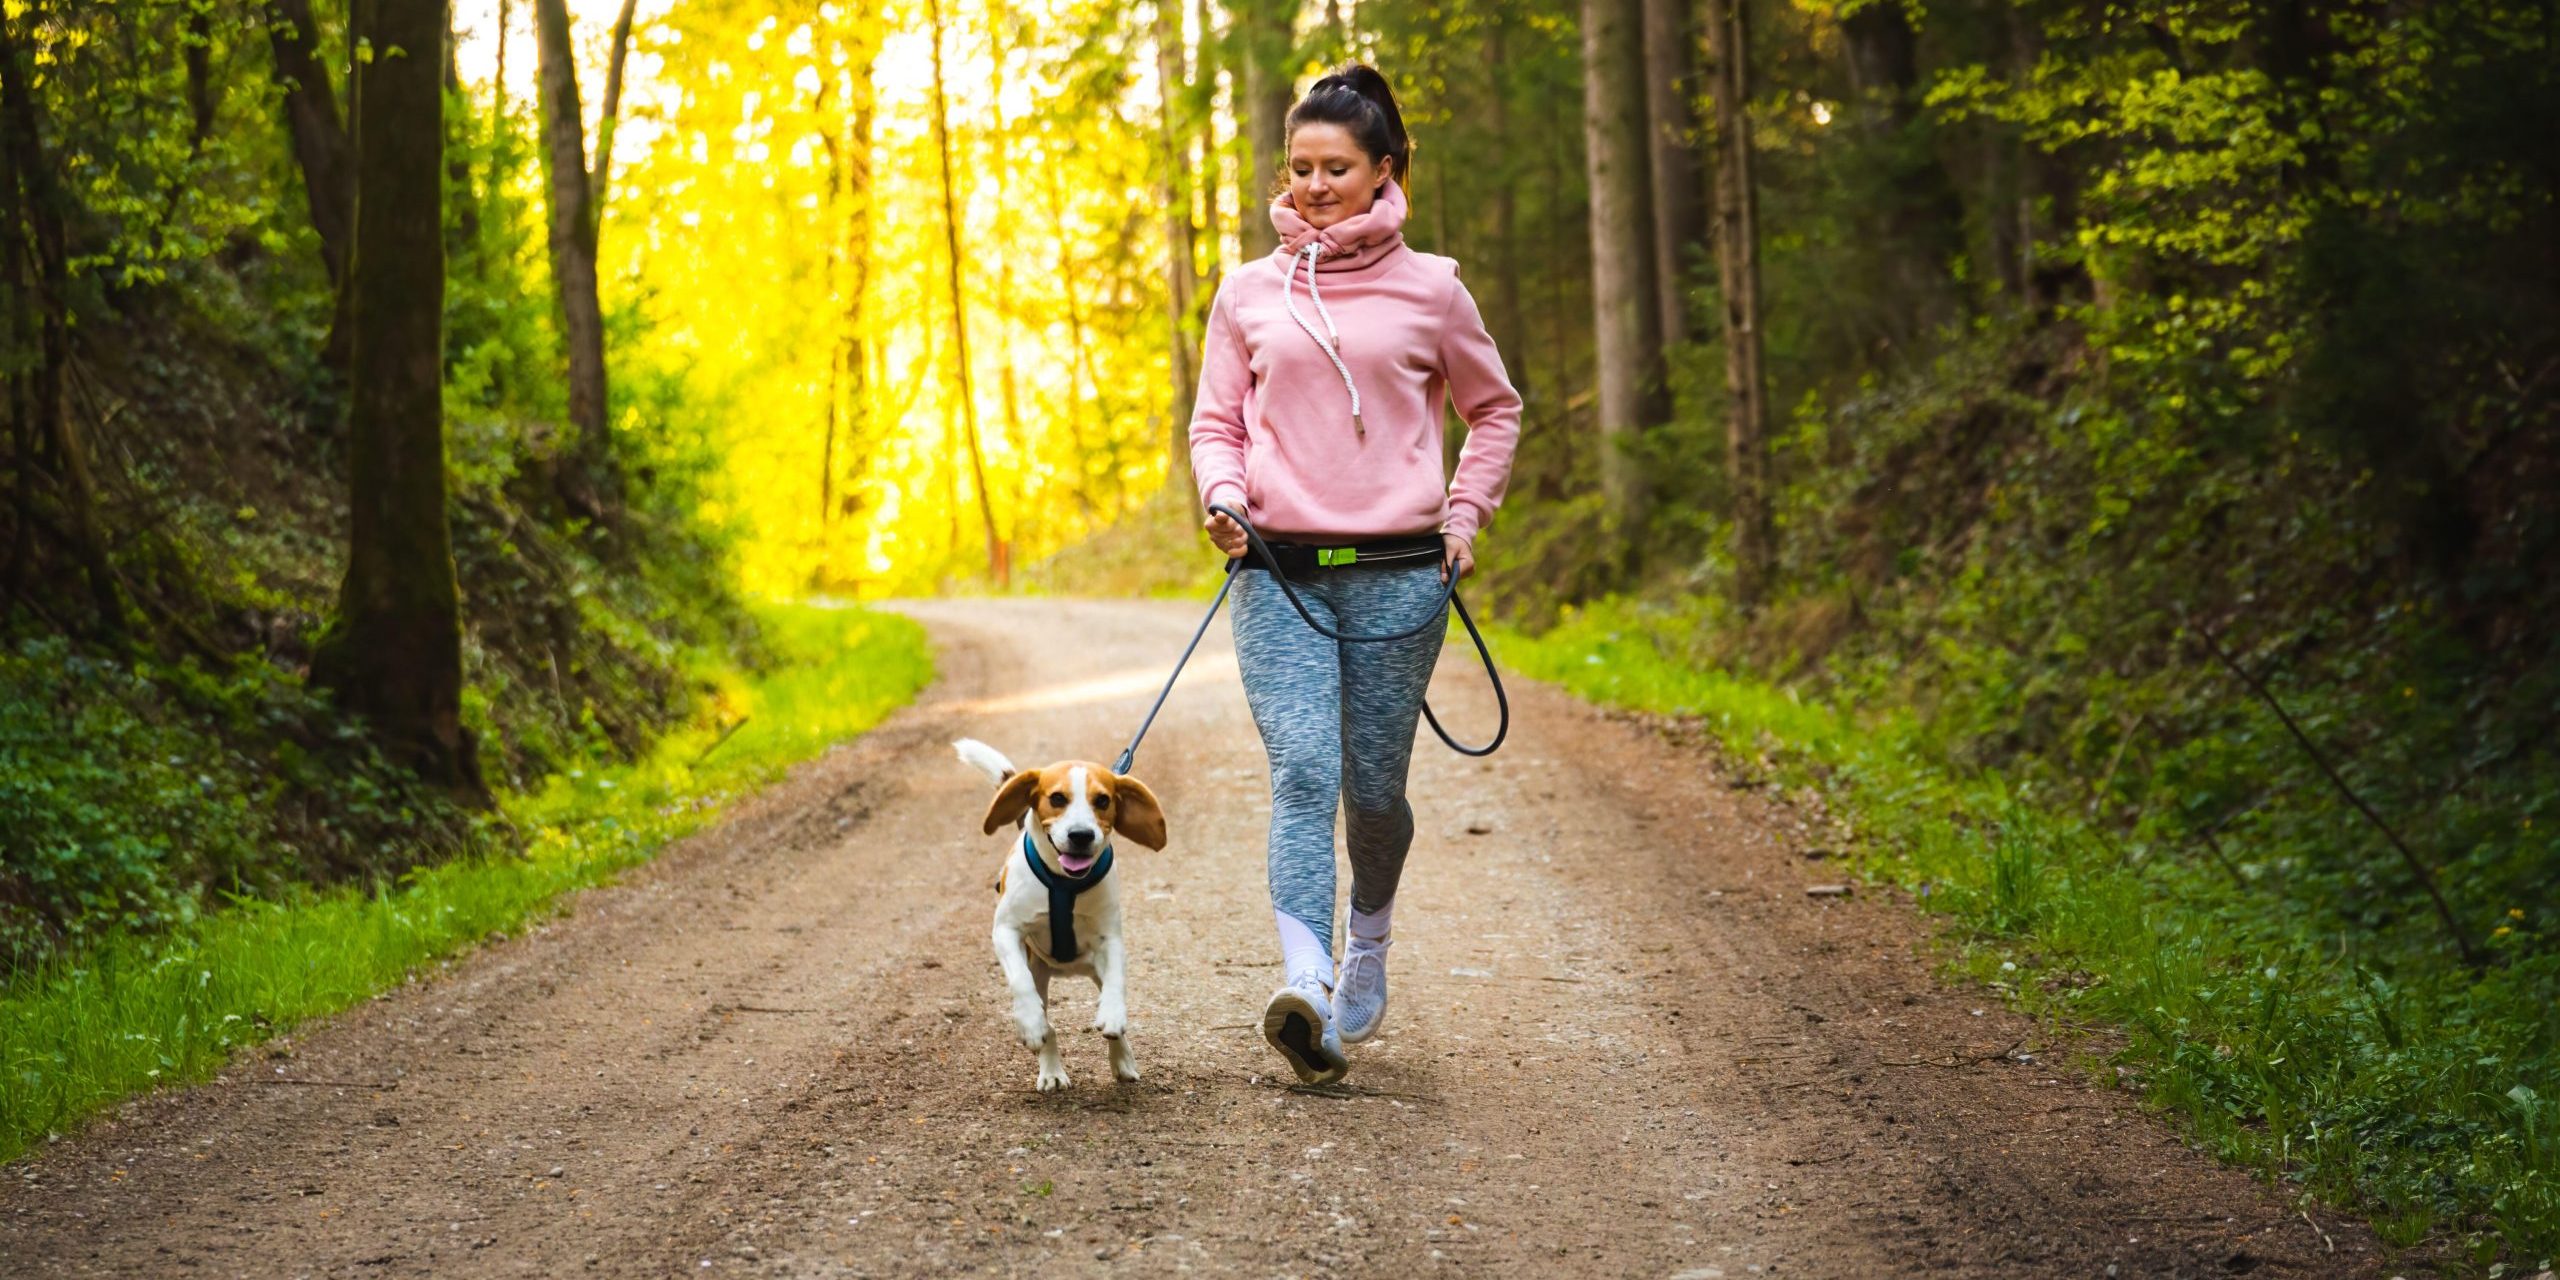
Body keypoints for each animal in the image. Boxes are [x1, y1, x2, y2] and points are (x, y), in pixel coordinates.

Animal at [952, 742, 1172, 1090]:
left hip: (1093, 966)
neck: (1064, 882)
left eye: (1103, 801)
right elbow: (1019, 980)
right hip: (1039, 970)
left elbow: (1116, 982)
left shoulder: (1110, 938)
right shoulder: (1006, 930)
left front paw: (1113, 1014)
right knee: (1049, 1025)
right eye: (1057, 798)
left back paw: (1122, 1060)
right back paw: (1051, 1069)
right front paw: (1029, 1022)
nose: (1081, 835)